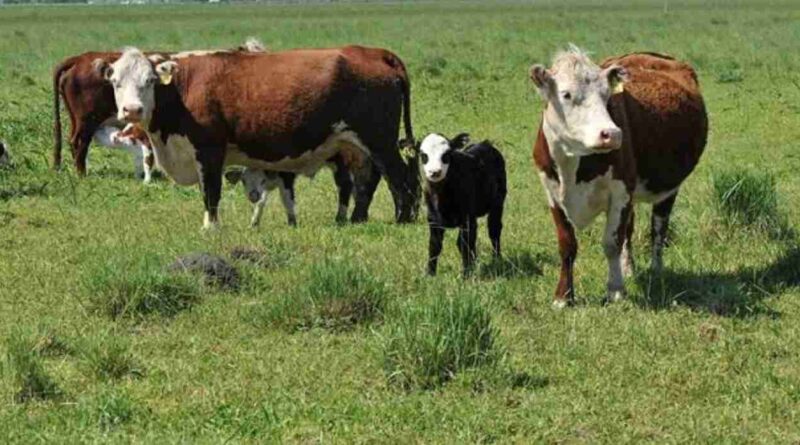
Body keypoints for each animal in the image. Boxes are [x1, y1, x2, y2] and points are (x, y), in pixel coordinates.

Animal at [92, 45, 418, 227]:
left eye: (149, 80)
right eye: (115, 81)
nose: (132, 110)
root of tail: (374, 52)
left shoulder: (210, 150)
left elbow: (210, 192)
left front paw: (210, 228)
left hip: (378, 139)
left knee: (399, 175)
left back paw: (403, 219)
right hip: (357, 144)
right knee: (368, 179)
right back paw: (358, 219)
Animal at [418, 133, 506, 278]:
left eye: (447, 154)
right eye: (423, 155)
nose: (435, 172)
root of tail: (485, 144)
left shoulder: (467, 218)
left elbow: (465, 244)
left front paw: (466, 275)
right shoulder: (433, 219)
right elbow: (434, 245)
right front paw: (430, 274)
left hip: (498, 202)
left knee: (494, 230)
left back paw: (496, 258)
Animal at [532, 46, 708, 306]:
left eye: (607, 95)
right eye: (566, 94)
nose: (611, 134)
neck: (571, 166)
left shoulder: (621, 191)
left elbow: (611, 242)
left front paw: (615, 290)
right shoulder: (552, 194)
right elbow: (567, 245)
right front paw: (563, 296)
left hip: (668, 189)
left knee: (658, 228)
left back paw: (656, 270)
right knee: (630, 230)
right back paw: (628, 268)